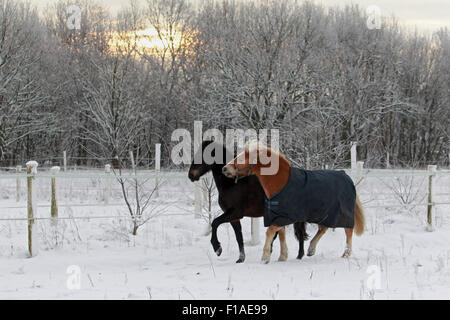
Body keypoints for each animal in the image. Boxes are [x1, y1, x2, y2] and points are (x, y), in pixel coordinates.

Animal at [221, 141, 366, 264]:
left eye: (242, 158)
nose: (225, 169)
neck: (281, 183)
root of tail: (346, 176)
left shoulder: (285, 217)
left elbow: (270, 231)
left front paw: (265, 257)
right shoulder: (278, 216)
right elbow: (281, 234)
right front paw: (282, 256)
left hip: (342, 215)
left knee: (348, 231)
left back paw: (346, 253)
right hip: (324, 214)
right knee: (323, 228)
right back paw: (311, 249)